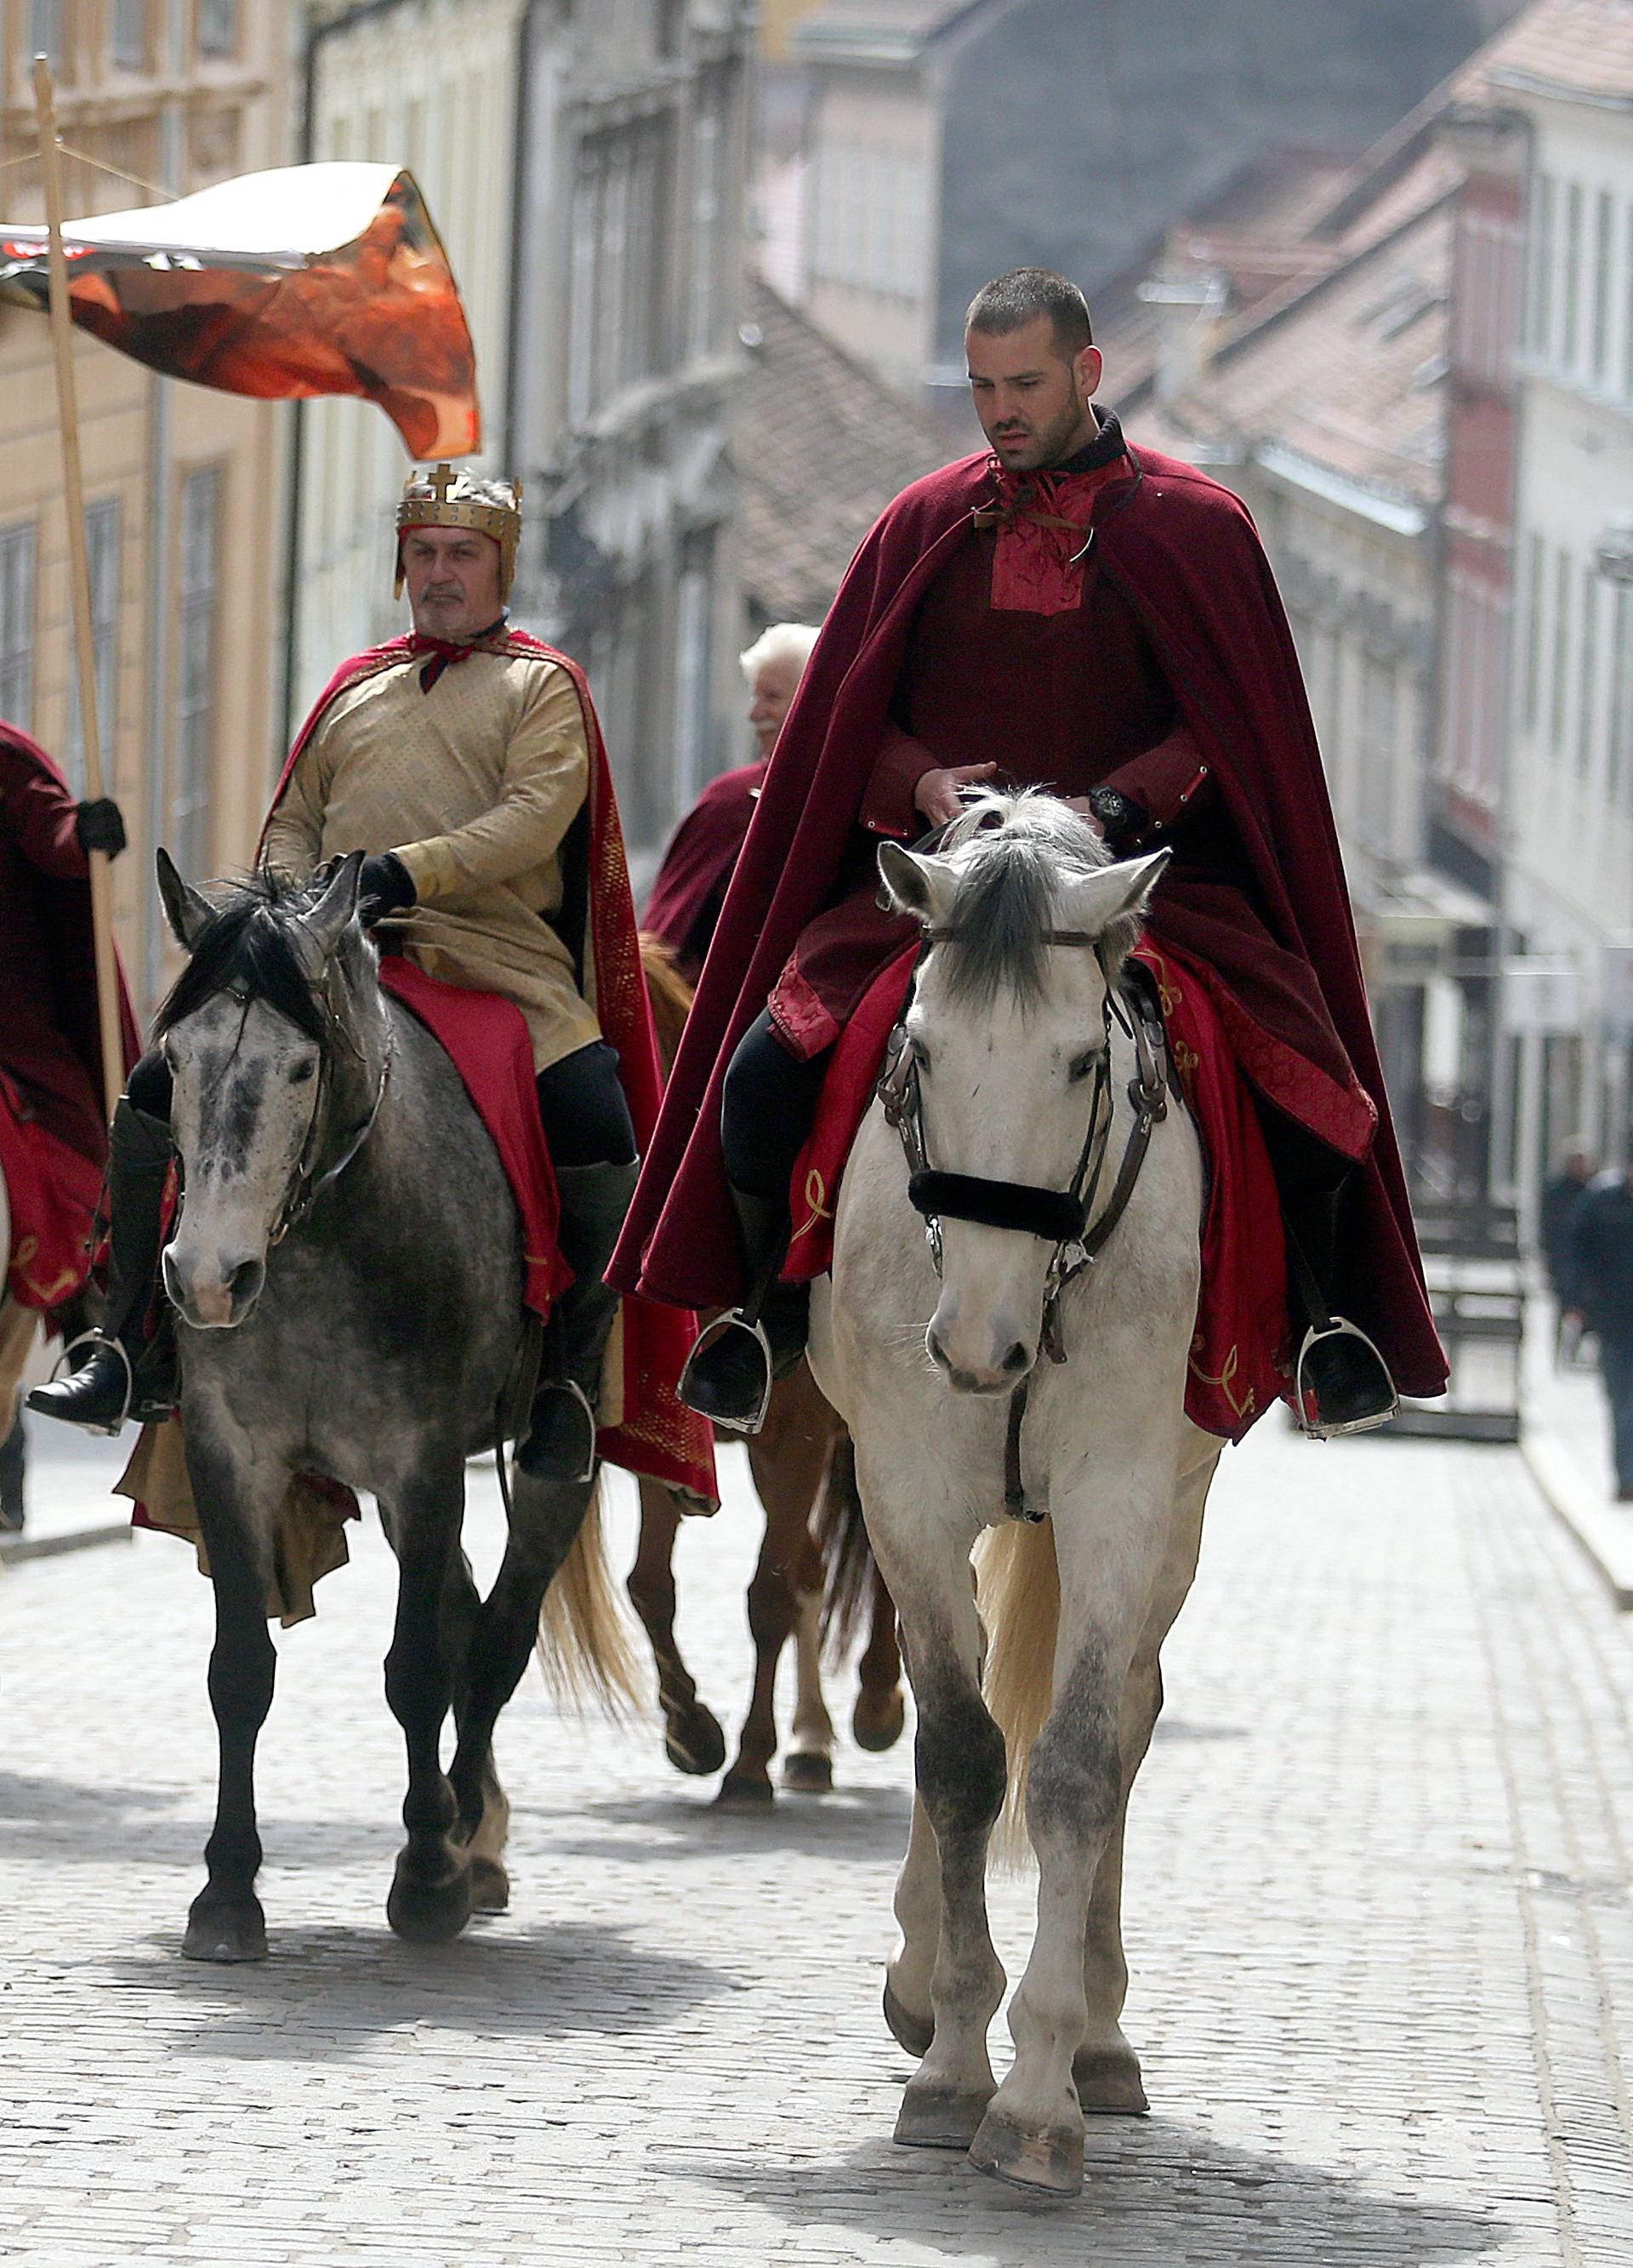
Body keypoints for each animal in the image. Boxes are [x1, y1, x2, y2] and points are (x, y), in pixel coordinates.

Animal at [156, 857, 630, 1959]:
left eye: (301, 1067)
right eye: (172, 1058)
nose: (207, 1278)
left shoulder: (422, 1461)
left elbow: (417, 1668)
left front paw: (427, 1874)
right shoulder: (229, 1452)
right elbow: (239, 1669)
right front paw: (227, 1891)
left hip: (558, 1456)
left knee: (494, 1639)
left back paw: (466, 1836)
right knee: (464, 1615)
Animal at [630, 938, 907, 1805]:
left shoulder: (803, 1436)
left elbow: (770, 1592)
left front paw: (748, 1758)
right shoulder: (671, 1441)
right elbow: (651, 1586)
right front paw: (692, 1731)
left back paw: (874, 1702)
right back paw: (811, 1743)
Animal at [811, 798, 1215, 2195]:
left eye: (1081, 1063)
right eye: (923, 1050)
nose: (979, 1347)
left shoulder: (1123, 1499)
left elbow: (1080, 1761)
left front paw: (1040, 2086)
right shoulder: (908, 1489)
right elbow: (960, 1752)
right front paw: (951, 2054)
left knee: (1132, 1717)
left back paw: (1097, 2031)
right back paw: (924, 1969)